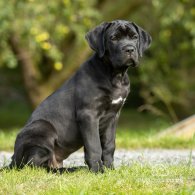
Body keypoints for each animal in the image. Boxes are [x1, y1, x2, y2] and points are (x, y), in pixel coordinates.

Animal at [9, 19, 152, 172]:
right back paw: (69, 170)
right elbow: (94, 146)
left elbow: (109, 145)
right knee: (34, 165)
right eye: (113, 38)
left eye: (134, 37)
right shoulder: (88, 114)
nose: (129, 49)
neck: (115, 75)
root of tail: (13, 161)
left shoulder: (113, 116)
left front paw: (109, 169)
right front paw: (97, 170)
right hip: (42, 127)